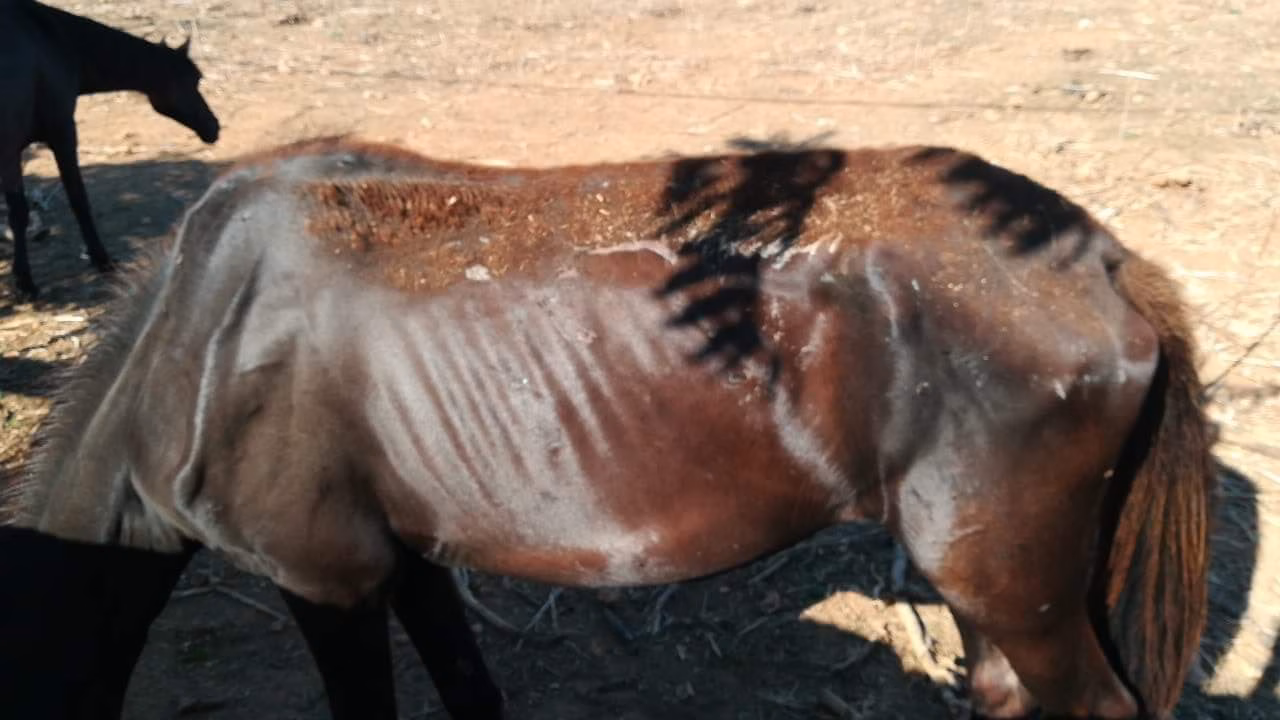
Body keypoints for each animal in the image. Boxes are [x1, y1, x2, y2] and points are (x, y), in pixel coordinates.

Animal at [0, 0, 220, 300]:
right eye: (193, 80)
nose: (214, 127)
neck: (53, 40)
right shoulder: (58, 134)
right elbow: (74, 199)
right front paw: (99, 260)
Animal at [0, 136, 1215, 719]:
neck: (195, 345)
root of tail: (1104, 258)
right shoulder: (404, 563)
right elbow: (472, 691)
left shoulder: (325, 578)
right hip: (983, 575)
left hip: (1010, 575)